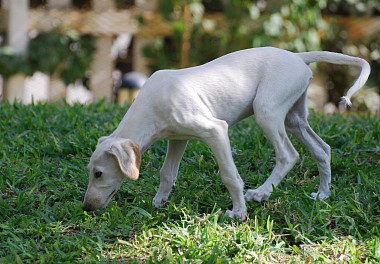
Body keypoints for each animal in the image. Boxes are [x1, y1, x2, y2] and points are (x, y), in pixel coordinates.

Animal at [81, 47, 370, 219]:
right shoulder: (178, 138)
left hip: (266, 111)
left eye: (99, 174)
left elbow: (230, 176)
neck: (151, 105)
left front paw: (239, 212)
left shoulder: (216, 131)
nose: (86, 208)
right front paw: (160, 201)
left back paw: (261, 193)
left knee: (288, 155)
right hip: (293, 118)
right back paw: (323, 195)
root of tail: (298, 56)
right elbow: (167, 172)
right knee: (322, 149)